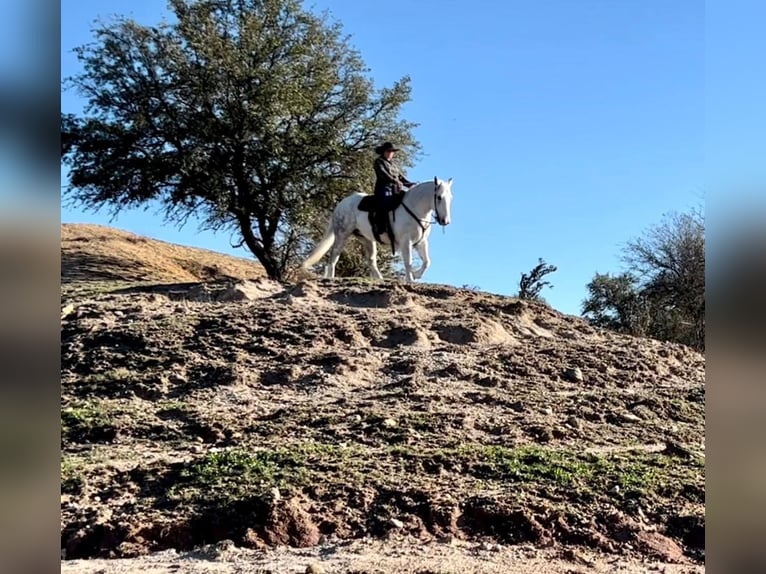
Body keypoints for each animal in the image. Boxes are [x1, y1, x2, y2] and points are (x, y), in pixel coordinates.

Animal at [304, 177, 452, 282]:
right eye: (439, 197)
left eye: (450, 198)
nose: (445, 221)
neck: (414, 208)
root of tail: (341, 204)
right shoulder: (406, 242)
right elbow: (408, 262)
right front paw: (410, 279)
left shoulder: (421, 242)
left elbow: (427, 262)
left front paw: (415, 275)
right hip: (342, 234)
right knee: (334, 256)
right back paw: (330, 277)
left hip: (366, 239)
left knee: (371, 260)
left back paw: (381, 280)